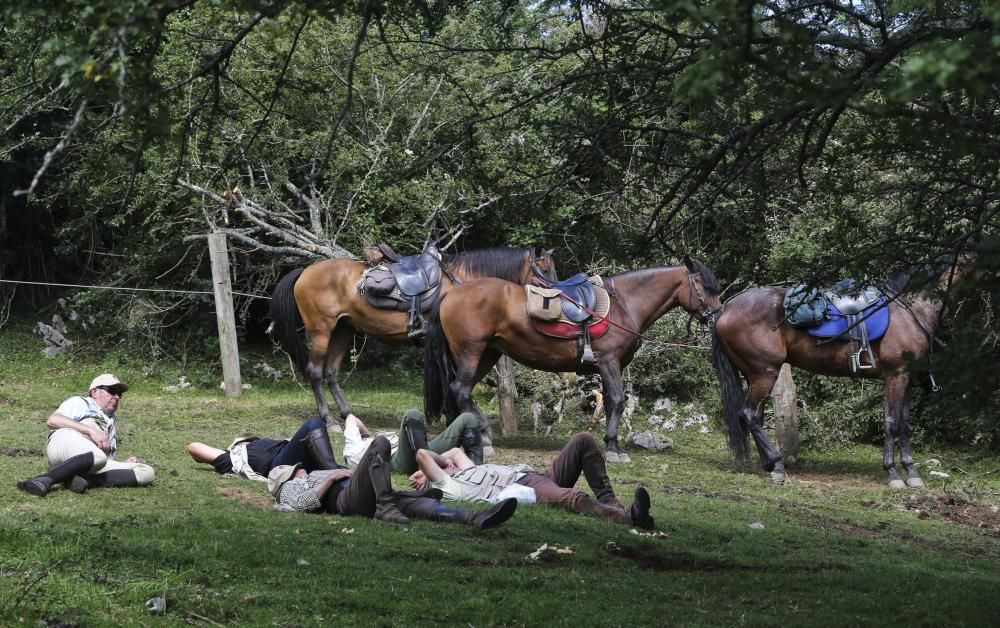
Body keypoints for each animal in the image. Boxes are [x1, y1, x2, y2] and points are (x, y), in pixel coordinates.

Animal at [270, 245, 560, 422]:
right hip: (321, 329)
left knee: (331, 372)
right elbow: (450, 380)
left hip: (343, 329)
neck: (462, 283)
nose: (556, 296)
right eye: (544, 269)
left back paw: (347, 413)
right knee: (315, 371)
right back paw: (327, 418)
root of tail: (305, 272)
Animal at [422, 258, 720, 464]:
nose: (716, 316)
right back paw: (483, 437)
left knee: (459, 392)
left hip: (486, 354)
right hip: (471, 352)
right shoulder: (609, 362)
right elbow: (618, 401)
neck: (624, 305)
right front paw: (614, 448)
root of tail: (451, 294)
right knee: (460, 390)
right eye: (705, 287)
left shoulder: (612, 367)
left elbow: (610, 404)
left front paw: (611, 444)